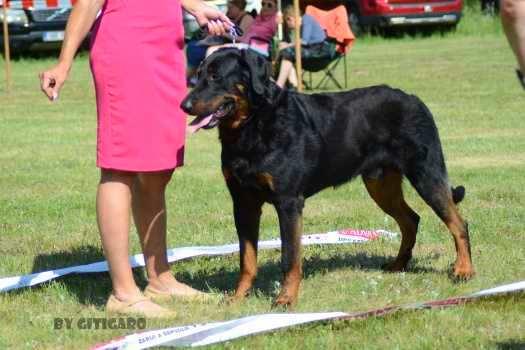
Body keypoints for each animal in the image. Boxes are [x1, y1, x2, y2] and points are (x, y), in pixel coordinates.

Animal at [181, 47, 474, 306]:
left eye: (216, 76)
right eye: (198, 75)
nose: (184, 105)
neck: (251, 126)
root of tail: (414, 99)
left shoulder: (288, 202)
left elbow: (290, 256)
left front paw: (286, 298)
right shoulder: (243, 203)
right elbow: (247, 258)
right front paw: (238, 297)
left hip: (426, 173)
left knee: (458, 222)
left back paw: (464, 270)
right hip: (380, 184)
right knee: (411, 220)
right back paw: (399, 264)